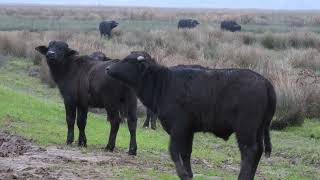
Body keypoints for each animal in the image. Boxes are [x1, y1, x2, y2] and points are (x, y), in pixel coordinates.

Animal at [106, 51, 276, 179]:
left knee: (249, 151)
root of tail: (265, 82)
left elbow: (173, 150)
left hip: (245, 130)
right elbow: (186, 152)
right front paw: (189, 173)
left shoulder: (178, 128)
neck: (164, 82)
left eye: (128, 61)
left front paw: (183, 174)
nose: (108, 68)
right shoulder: (188, 131)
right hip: (258, 130)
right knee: (258, 151)